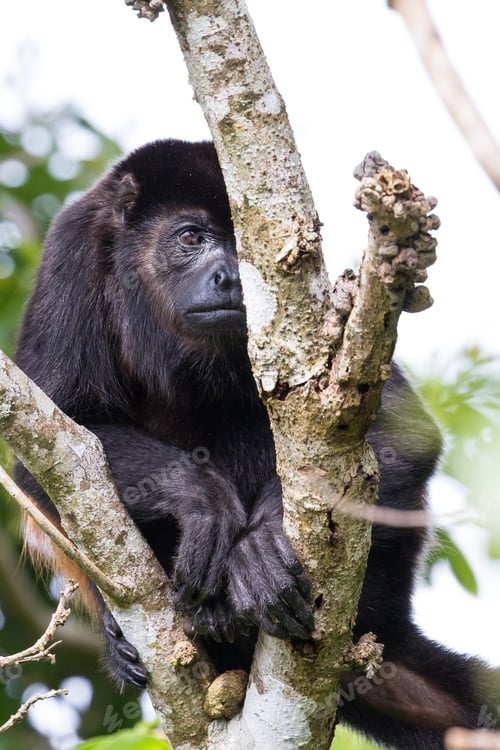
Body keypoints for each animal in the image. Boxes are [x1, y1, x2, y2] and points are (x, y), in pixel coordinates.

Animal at [13, 139, 495, 749]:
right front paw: (201, 496)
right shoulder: (71, 251)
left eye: (242, 247)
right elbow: (47, 448)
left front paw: (263, 542)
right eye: (190, 237)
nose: (229, 278)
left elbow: (404, 430)